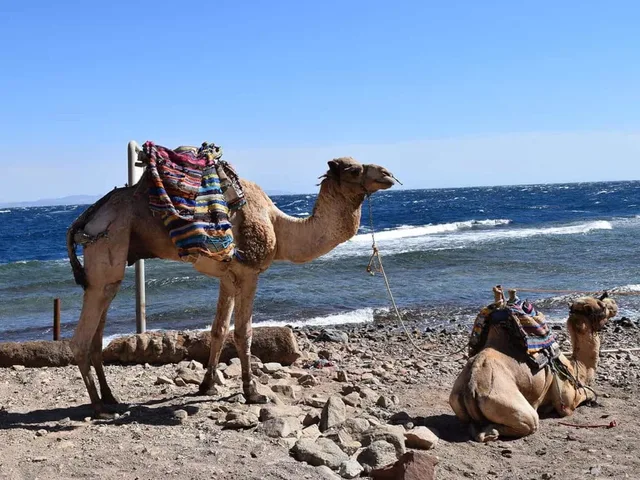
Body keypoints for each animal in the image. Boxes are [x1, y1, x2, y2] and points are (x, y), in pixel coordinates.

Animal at [66, 155, 396, 413]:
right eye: (353, 169)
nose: (388, 174)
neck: (278, 226)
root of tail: (86, 218)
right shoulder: (249, 272)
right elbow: (243, 333)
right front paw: (253, 392)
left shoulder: (227, 276)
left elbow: (218, 330)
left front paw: (207, 386)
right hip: (108, 244)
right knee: (81, 337)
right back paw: (98, 405)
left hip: (111, 264)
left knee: (97, 332)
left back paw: (111, 398)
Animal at [449, 289, 618, 442]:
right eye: (602, 306)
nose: (614, 303)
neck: (576, 367)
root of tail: (470, 387)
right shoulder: (566, 400)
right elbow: (586, 394)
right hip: (508, 404)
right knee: (528, 422)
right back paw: (492, 432)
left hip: (456, 399)